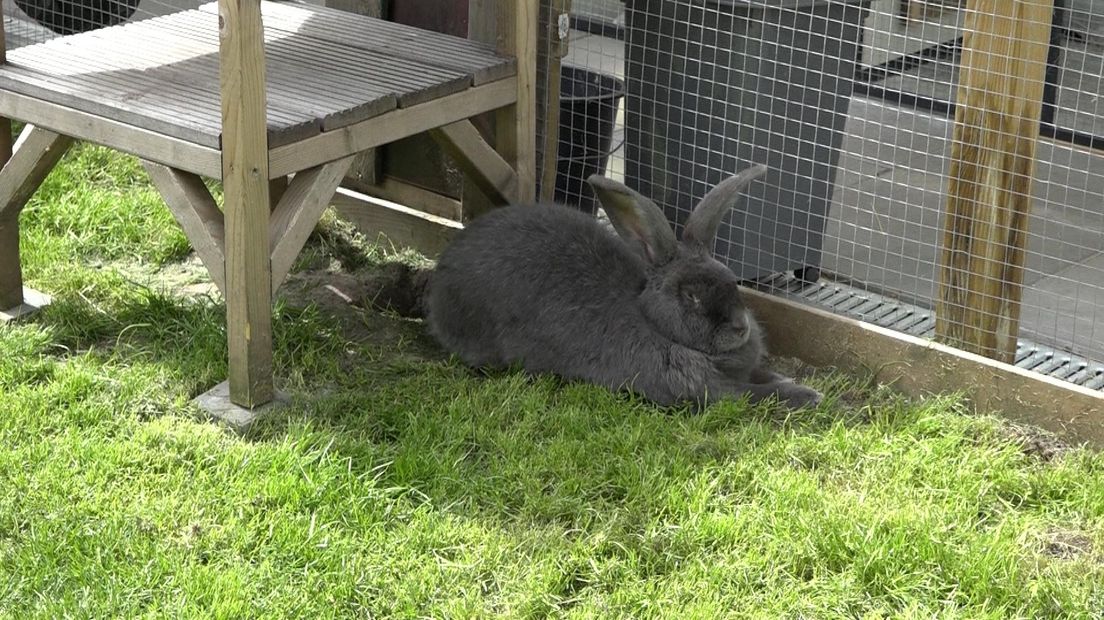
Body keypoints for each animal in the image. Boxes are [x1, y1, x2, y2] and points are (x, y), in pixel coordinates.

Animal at [377, 162, 821, 408]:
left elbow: (763, 377)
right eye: (691, 296)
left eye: (731, 280)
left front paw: (792, 383)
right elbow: (750, 395)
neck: (654, 323)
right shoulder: (707, 389)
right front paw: (808, 397)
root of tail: (442, 278)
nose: (740, 327)